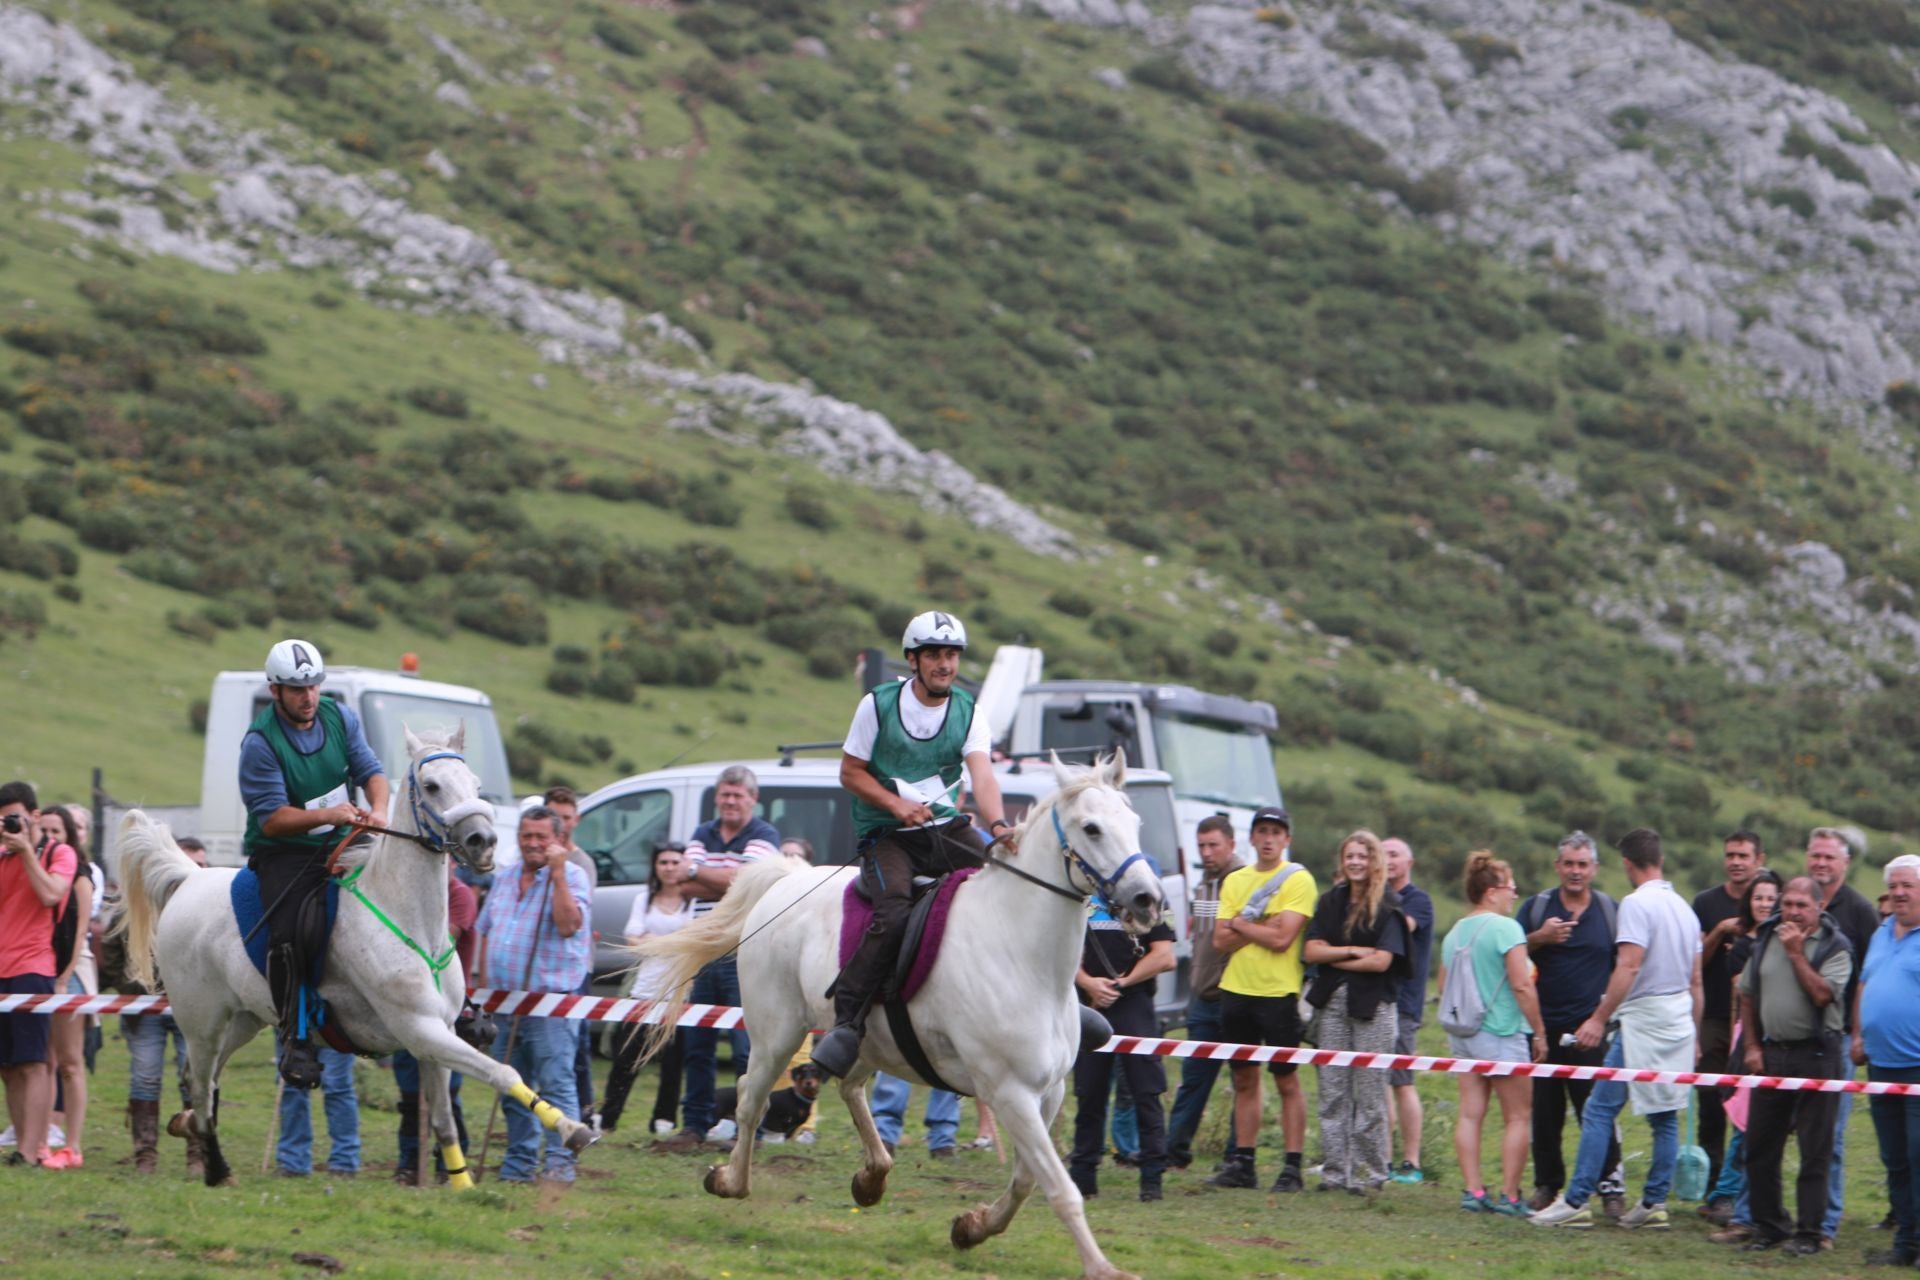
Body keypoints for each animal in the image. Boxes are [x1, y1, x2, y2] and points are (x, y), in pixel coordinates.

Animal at [114, 725, 591, 1189]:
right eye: (432, 786)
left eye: (474, 784)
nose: (484, 843)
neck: (411, 920)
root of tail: (191, 878)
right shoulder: (420, 1031)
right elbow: (503, 1073)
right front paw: (573, 1129)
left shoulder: (436, 1037)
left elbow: (443, 1121)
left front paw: (463, 1186)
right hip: (203, 1023)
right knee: (199, 1081)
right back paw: (214, 1167)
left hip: (245, 1019)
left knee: (205, 1079)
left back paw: (188, 1127)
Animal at [637, 752, 1159, 1280]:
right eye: (1091, 828)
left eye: (1135, 821)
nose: (1147, 900)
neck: (1019, 951)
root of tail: (786, 880)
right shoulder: (1010, 1093)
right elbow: (1060, 1187)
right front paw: (1102, 1268)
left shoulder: (1047, 1093)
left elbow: (1027, 1180)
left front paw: (971, 1228)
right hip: (777, 1034)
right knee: (750, 1100)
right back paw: (731, 1181)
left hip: (867, 1040)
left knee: (848, 1086)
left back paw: (872, 1178)